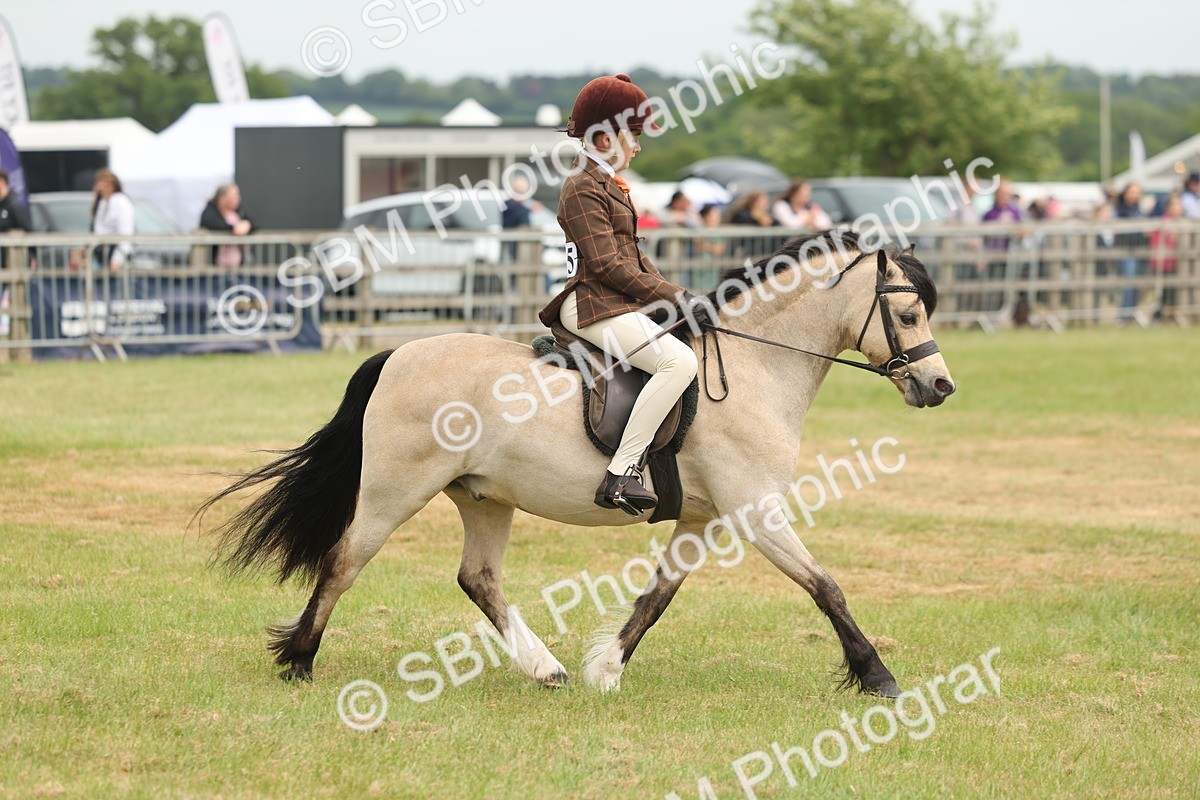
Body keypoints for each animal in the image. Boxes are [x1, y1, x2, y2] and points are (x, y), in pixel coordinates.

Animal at [200, 229, 955, 698]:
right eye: (908, 315)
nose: (940, 386)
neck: (753, 366)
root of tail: (399, 353)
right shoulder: (756, 511)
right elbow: (827, 587)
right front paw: (878, 677)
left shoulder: (704, 520)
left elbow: (656, 598)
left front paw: (606, 669)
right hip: (396, 490)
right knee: (344, 559)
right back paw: (298, 660)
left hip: (483, 496)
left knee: (477, 578)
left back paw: (546, 669)